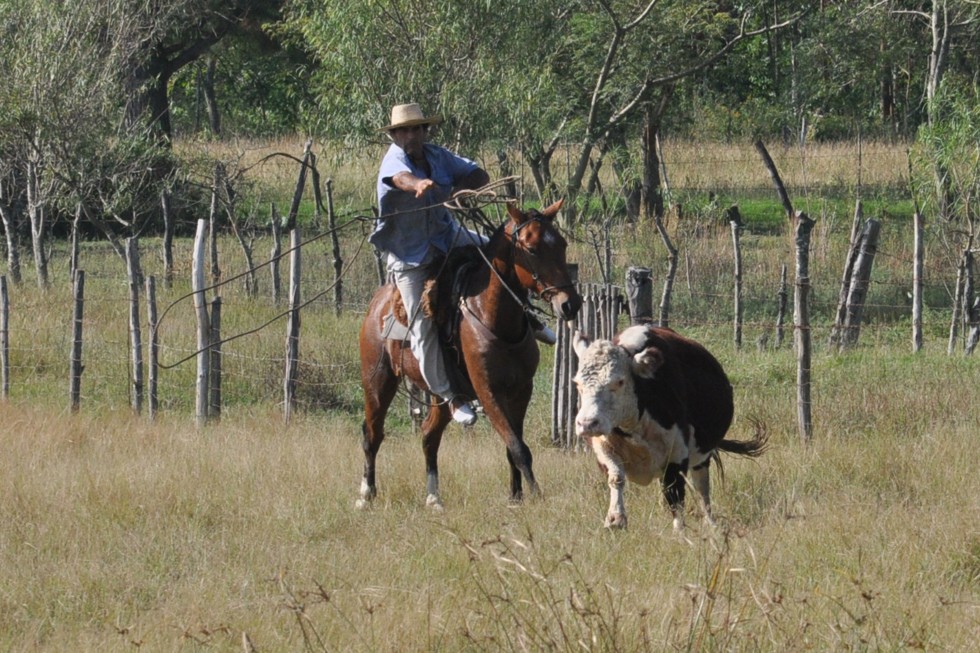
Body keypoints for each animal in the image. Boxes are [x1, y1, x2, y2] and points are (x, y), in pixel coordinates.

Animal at [356, 200, 580, 510]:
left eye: (562, 244)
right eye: (532, 248)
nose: (570, 304)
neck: (492, 316)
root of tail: (377, 304)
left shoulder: (522, 390)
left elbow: (512, 445)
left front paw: (516, 496)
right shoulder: (489, 392)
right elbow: (519, 447)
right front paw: (536, 495)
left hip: (444, 394)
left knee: (429, 435)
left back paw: (433, 497)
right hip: (378, 382)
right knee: (372, 434)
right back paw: (366, 494)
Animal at [576, 326, 764, 528]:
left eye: (619, 382)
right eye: (577, 383)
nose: (587, 423)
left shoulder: (677, 454)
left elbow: (675, 493)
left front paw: (679, 530)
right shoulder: (604, 447)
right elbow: (616, 477)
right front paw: (616, 519)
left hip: (701, 455)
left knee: (701, 487)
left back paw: (709, 522)